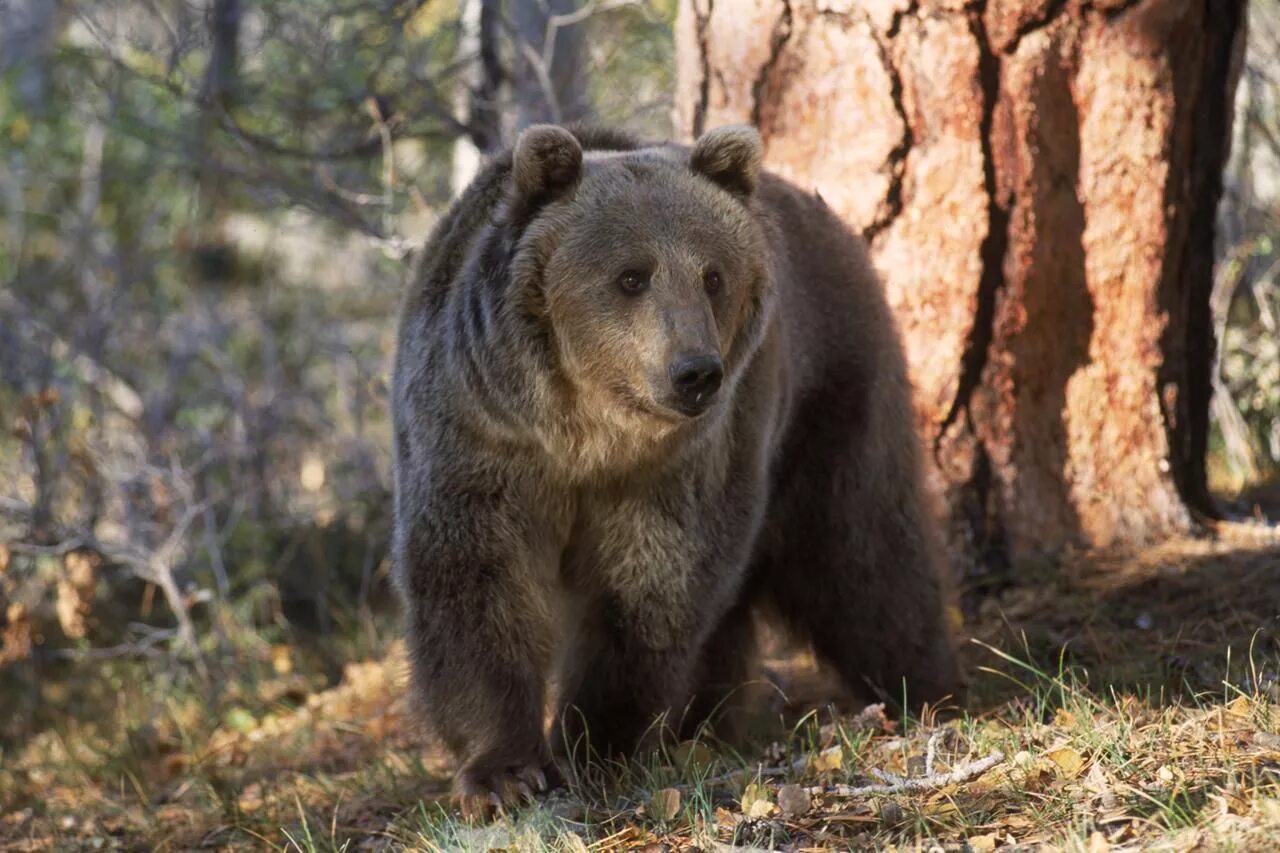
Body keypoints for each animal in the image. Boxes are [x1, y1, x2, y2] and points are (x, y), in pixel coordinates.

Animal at [389, 122, 962, 814]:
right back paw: (707, 723)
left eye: (713, 276)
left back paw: (926, 689)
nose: (695, 372)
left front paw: (593, 740)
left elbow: (654, 584)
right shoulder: (484, 432)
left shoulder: (682, 463)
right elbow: (475, 577)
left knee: (862, 552)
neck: (590, 434)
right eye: (631, 276)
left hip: (827, 399)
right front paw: (504, 772)